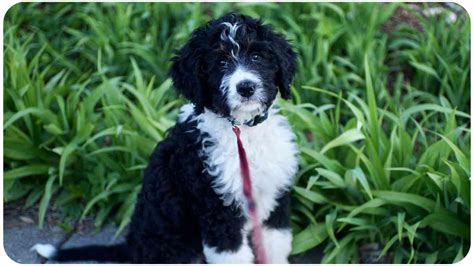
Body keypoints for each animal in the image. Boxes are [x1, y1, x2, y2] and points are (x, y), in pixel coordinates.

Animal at [31, 13, 298, 264]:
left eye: (257, 57)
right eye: (221, 62)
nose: (246, 88)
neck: (243, 132)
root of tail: (132, 247)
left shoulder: (274, 200)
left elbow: (275, 244)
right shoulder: (217, 211)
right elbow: (232, 255)